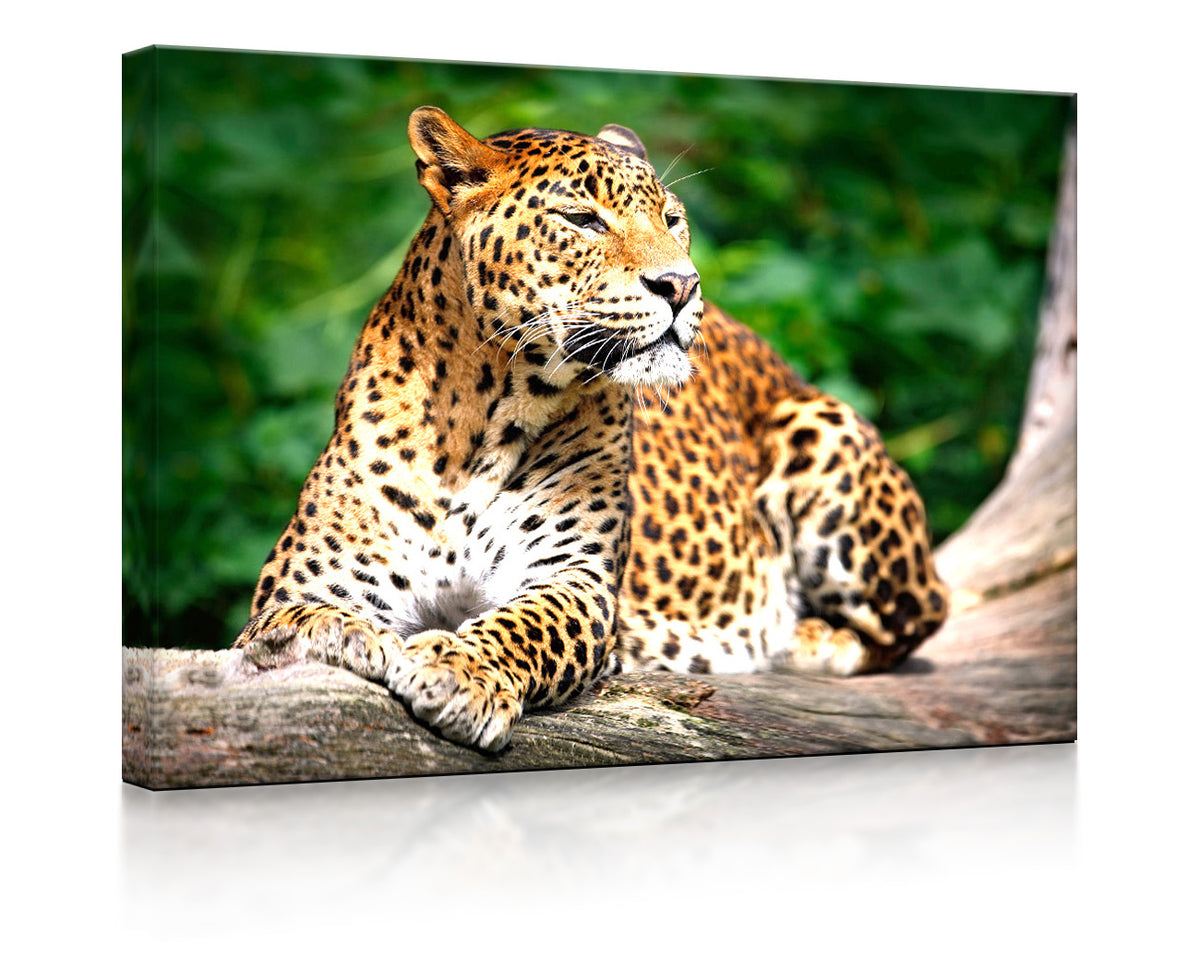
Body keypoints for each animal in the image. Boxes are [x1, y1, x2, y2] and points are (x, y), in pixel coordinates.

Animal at [232, 105, 949, 753]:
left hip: (824, 428)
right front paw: (348, 636)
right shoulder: (309, 579)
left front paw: (458, 672)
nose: (682, 285)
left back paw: (805, 636)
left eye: (672, 219)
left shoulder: (576, 579)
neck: (483, 416)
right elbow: (291, 620)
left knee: (920, 615)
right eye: (582, 219)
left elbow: (524, 625)